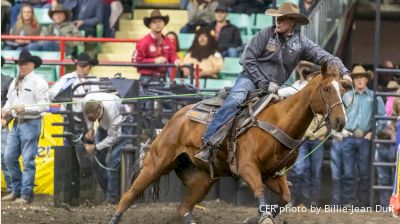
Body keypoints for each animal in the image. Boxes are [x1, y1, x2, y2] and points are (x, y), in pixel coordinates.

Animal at [108, 63, 346, 224]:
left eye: (343, 90)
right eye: (326, 89)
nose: (340, 121)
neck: (278, 121)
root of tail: (176, 117)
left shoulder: (274, 175)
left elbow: (286, 198)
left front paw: (258, 217)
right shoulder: (247, 167)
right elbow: (259, 191)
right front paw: (262, 217)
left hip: (202, 180)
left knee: (184, 207)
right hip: (156, 164)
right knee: (129, 195)